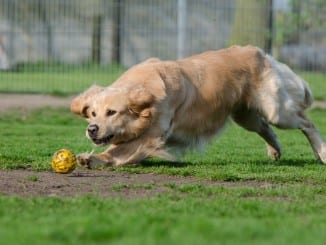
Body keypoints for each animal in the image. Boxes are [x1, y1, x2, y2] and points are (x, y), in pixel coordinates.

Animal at [71, 45, 326, 168]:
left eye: (112, 112)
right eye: (92, 113)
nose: (92, 129)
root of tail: (260, 52)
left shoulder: (151, 136)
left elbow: (117, 151)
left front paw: (92, 158)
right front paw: (89, 157)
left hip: (277, 111)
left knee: (306, 122)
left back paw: (322, 153)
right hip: (245, 115)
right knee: (266, 128)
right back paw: (275, 151)